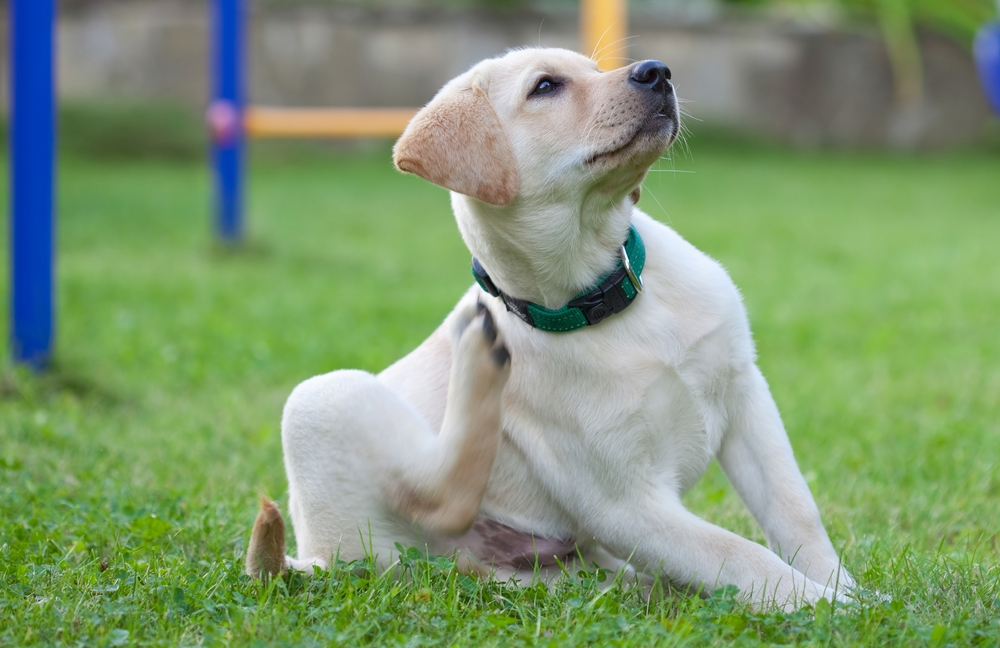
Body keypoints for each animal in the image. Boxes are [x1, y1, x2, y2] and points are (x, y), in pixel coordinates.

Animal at [246, 48, 856, 612]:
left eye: (595, 69)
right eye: (545, 87)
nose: (657, 71)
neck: (603, 298)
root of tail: (313, 555)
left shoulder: (745, 393)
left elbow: (796, 512)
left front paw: (845, 588)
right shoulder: (625, 505)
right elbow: (740, 554)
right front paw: (832, 608)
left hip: (568, 569)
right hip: (322, 399)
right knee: (439, 500)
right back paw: (478, 357)